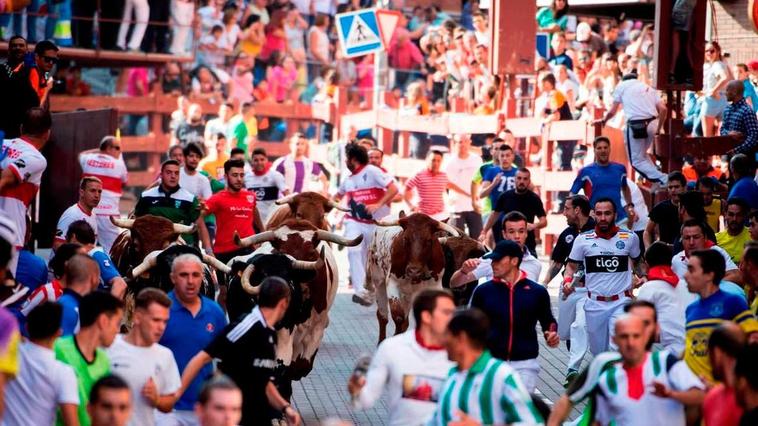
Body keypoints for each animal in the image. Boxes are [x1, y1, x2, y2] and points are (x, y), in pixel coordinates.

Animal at [364, 213, 460, 342]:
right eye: (405, 239)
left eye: (429, 240)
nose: (413, 271)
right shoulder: (392, 283)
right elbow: (398, 317)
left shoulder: (435, 285)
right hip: (379, 281)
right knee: (383, 316)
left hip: (408, 295)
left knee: (405, 321)